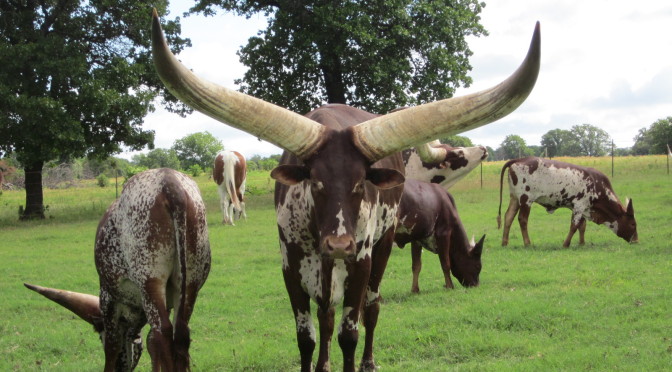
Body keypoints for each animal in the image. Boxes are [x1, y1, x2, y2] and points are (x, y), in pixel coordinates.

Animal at [25, 169, 210, 372]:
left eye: (100, 336)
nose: (123, 368)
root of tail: (169, 181)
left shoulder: (108, 298)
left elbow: (112, 346)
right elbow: (151, 341)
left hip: (149, 281)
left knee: (164, 332)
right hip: (190, 282)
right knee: (180, 332)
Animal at [151, 10, 540, 370]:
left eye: (360, 182)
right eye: (315, 181)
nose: (339, 244)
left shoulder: (361, 261)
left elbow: (349, 333)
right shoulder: (290, 268)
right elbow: (307, 336)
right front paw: (316, 360)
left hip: (380, 249)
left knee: (372, 307)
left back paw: (369, 359)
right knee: (326, 315)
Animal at [496, 156, 636, 247]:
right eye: (633, 224)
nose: (636, 241)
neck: (597, 186)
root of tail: (519, 159)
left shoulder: (584, 208)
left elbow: (582, 226)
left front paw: (582, 243)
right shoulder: (579, 206)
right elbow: (574, 226)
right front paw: (566, 244)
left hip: (515, 198)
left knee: (508, 217)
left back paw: (504, 242)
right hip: (526, 199)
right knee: (522, 219)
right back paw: (527, 243)